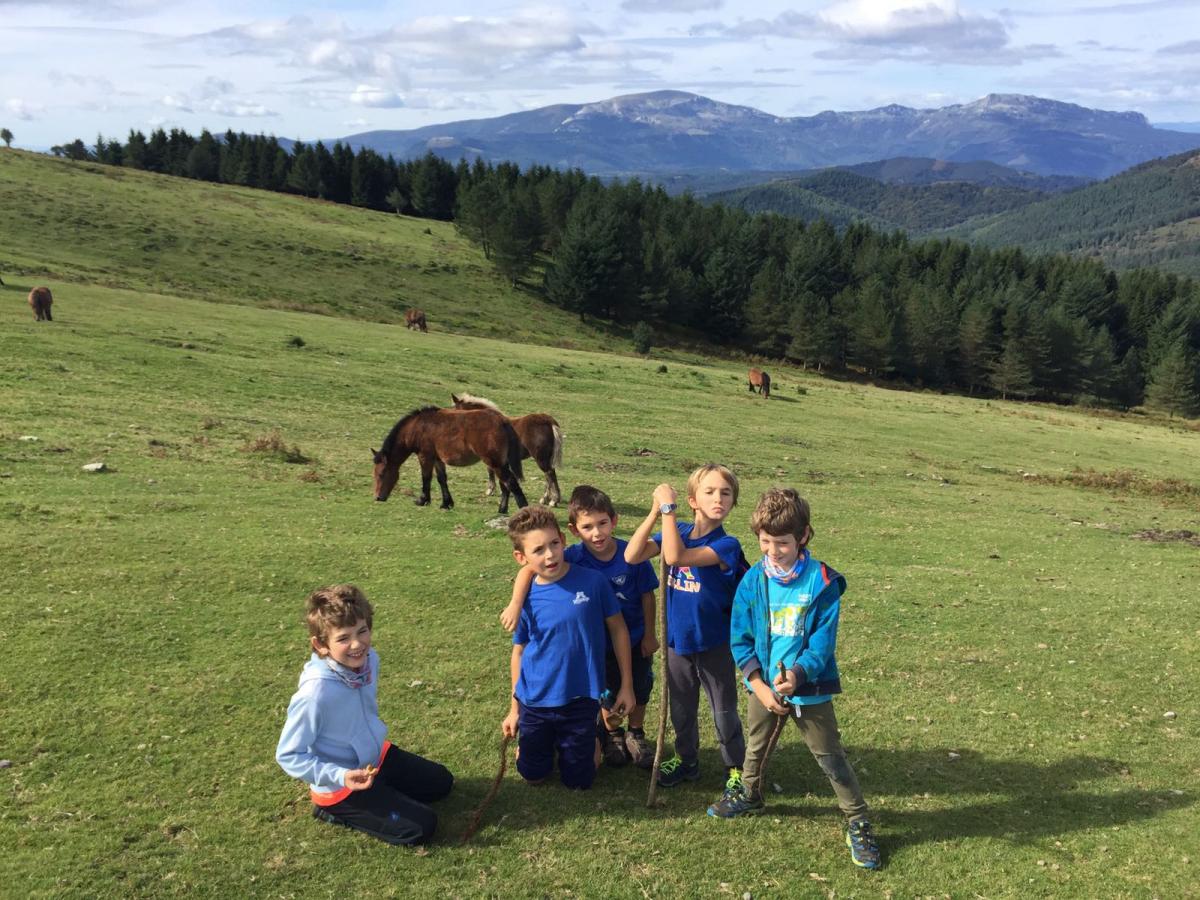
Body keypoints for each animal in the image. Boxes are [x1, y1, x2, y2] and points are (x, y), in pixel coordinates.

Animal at [372, 408, 528, 513]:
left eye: (381, 474)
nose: (378, 497)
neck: (418, 427)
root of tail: (502, 421)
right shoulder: (437, 459)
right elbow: (442, 479)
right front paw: (446, 503)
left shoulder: (425, 456)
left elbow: (426, 478)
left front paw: (422, 500)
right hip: (500, 463)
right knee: (505, 485)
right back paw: (502, 510)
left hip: (495, 463)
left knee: (511, 482)